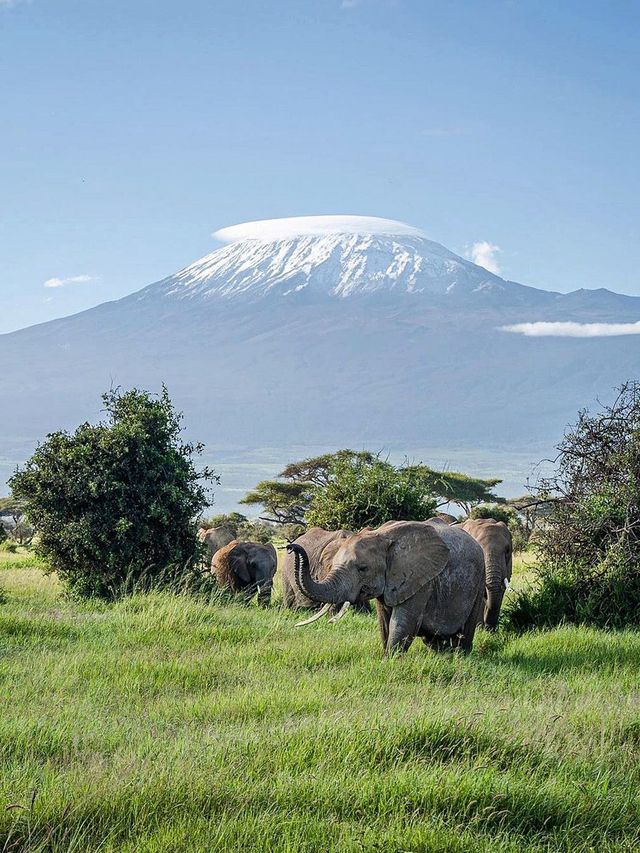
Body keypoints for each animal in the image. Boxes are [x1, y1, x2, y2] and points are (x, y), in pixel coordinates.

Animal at [288, 520, 482, 652]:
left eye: (362, 568)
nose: (291, 547)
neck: (382, 535)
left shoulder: (421, 579)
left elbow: (403, 622)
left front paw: (390, 661)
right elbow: (385, 622)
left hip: (479, 581)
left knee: (467, 628)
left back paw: (460, 655)